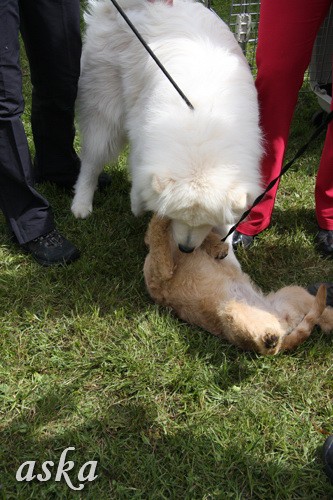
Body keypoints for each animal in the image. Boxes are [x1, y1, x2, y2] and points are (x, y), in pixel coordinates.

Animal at [72, 0, 262, 250]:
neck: (201, 132)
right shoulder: (143, 139)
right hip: (104, 112)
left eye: (206, 222)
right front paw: (138, 205)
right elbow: (140, 177)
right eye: (177, 216)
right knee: (91, 162)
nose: (186, 249)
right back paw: (81, 204)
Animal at [143, 216, 332, 356]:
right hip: (234, 310)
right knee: (270, 348)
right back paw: (270, 339)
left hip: (295, 294)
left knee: (323, 315)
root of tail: (282, 324)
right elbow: (156, 233)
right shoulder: (161, 270)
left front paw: (217, 247)